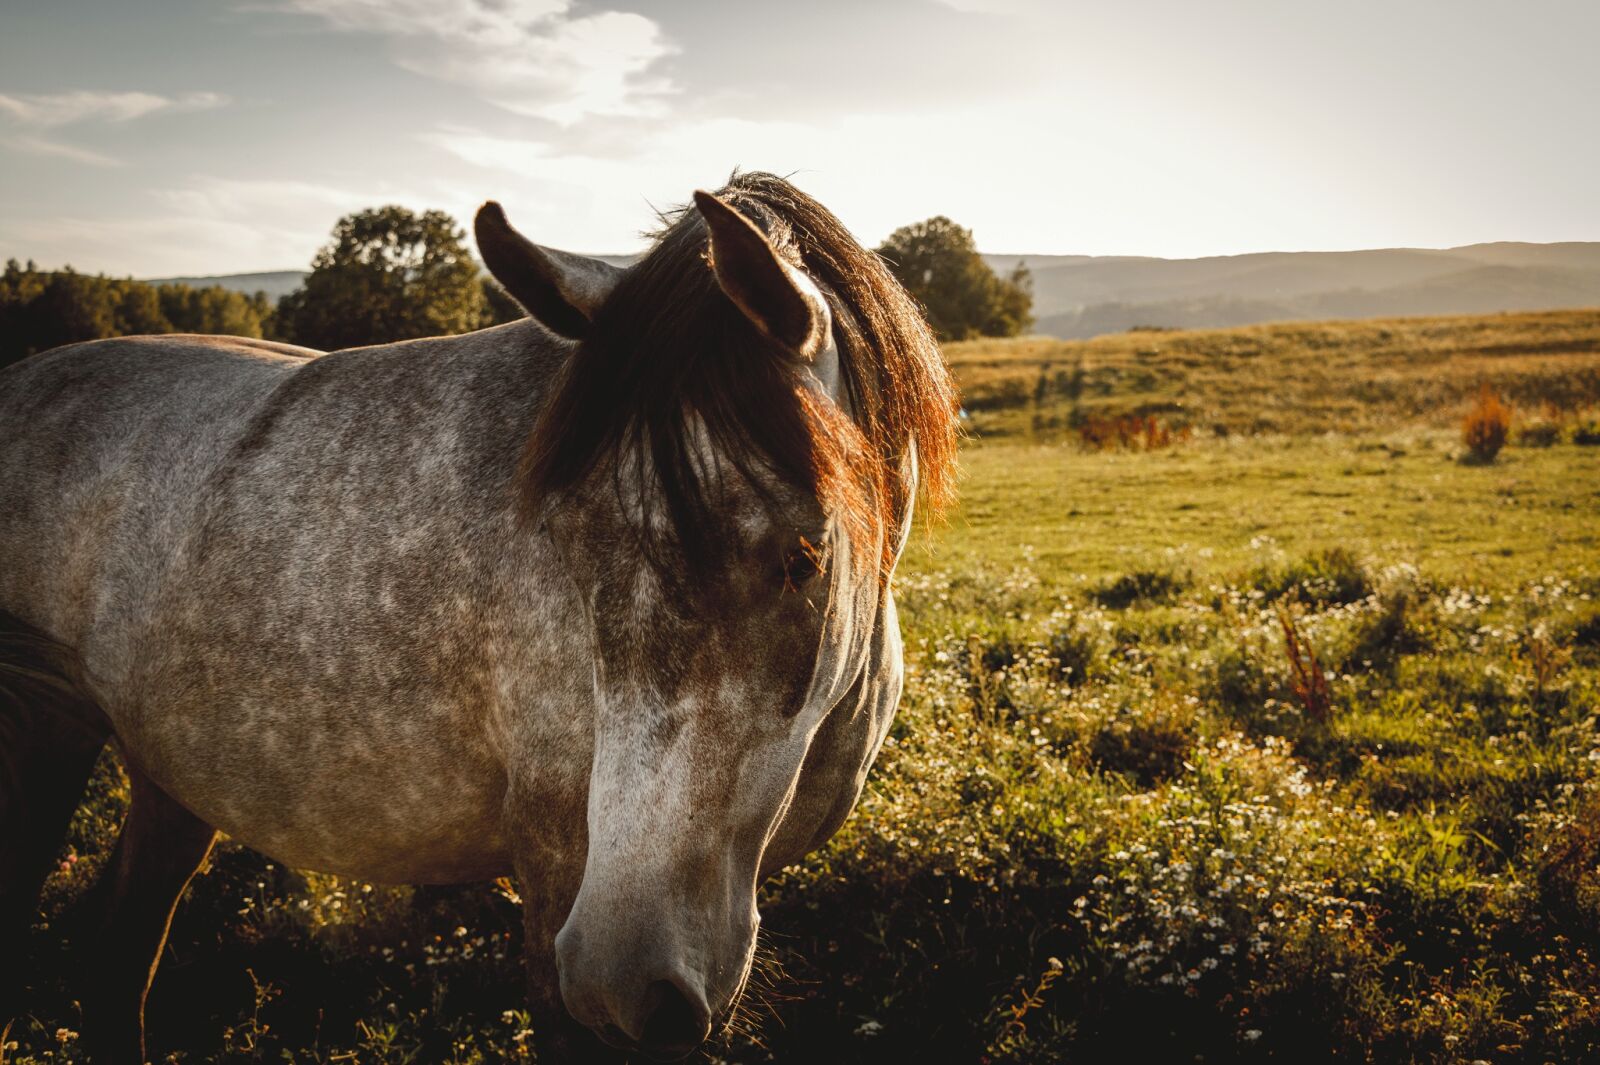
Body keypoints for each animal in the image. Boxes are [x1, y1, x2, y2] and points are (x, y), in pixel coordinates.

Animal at [0, 172, 958, 1061]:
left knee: (118, 945)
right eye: (567, 541)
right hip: (43, 733)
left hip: (170, 770)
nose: (626, 982)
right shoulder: (558, 868)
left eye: (802, 557)